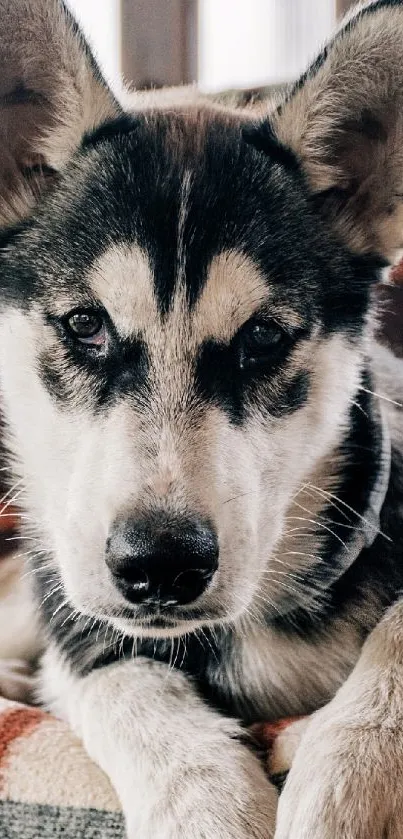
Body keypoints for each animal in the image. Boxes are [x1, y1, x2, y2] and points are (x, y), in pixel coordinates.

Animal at [0, 3, 403, 836]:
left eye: (263, 337)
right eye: (85, 324)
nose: (160, 564)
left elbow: (399, 631)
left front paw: (349, 775)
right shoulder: (85, 627)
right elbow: (124, 682)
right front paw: (206, 804)